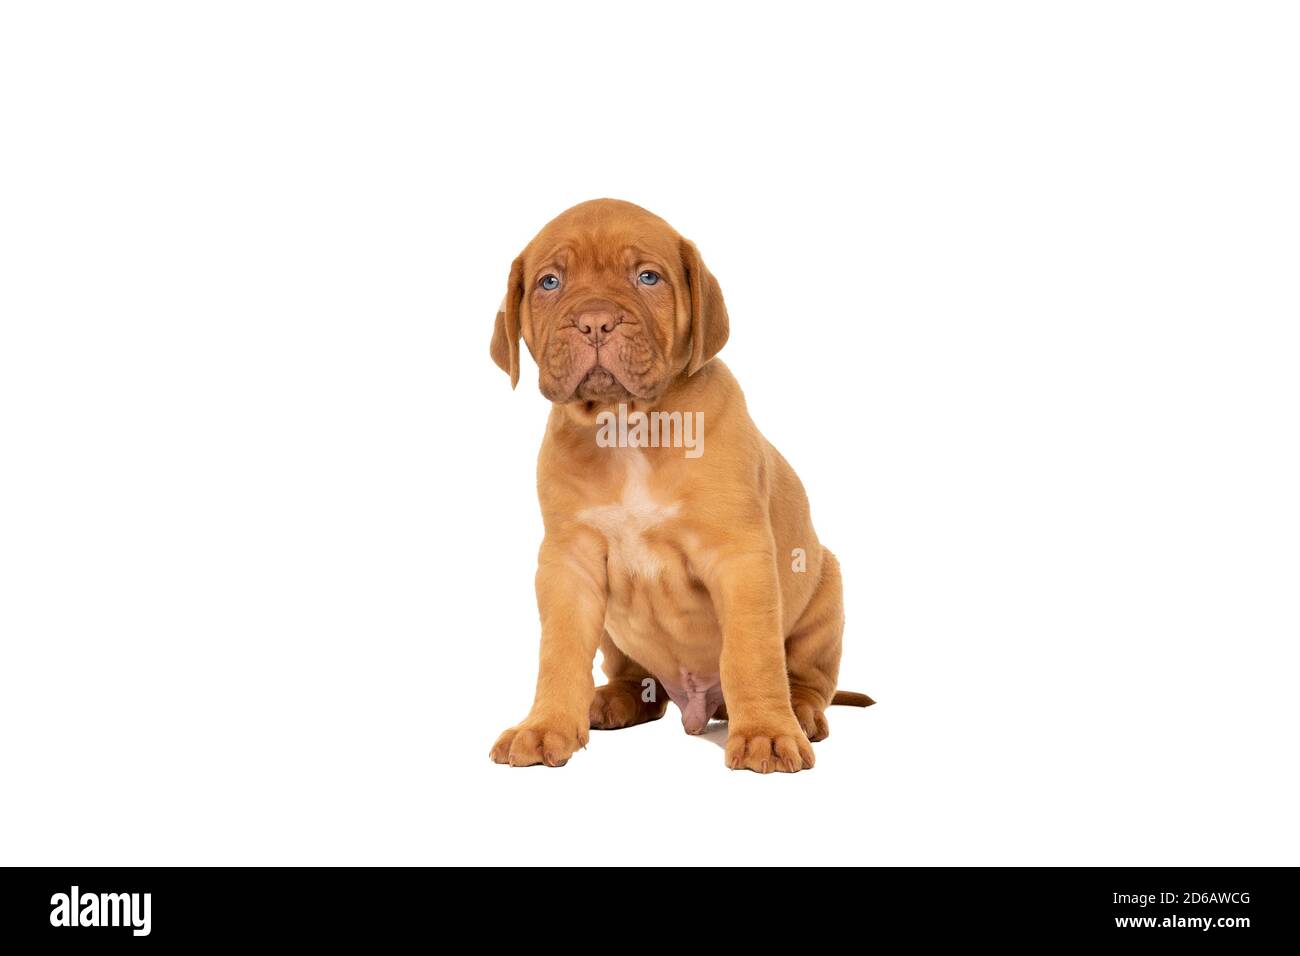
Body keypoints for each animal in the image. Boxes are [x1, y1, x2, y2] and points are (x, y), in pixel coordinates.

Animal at [488, 197, 873, 775]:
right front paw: (545, 726)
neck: (626, 427)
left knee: (808, 677)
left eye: (647, 277)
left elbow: (751, 654)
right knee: (636, 681)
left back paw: (799, 711)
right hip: (617, 635)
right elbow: (559, 653)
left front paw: (765, 734)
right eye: (550, 282)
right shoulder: (567, 565)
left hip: (825, 590)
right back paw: (609, 699)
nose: (594, 321)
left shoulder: (740, 558)